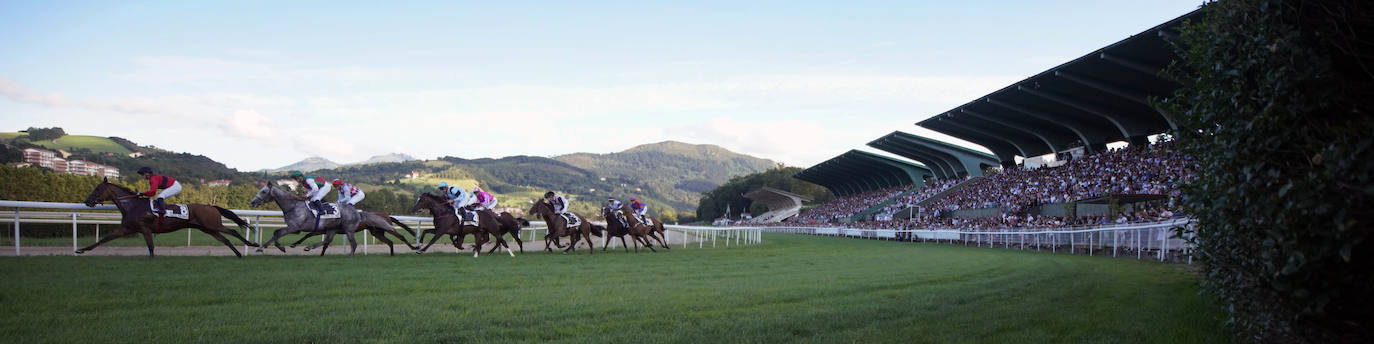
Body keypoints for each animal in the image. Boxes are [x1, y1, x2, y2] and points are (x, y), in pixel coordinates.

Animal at [80, 178, 259, 257]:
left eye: (97, 189)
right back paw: (238, 253)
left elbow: (151, 246)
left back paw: (252, 244)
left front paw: (152, 259)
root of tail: (211, 206)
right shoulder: (126, 229)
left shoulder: (145, 228)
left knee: (233, 233)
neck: (132, 205)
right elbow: (104, 239)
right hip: (208, 229)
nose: (87, 201)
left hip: (212, 225)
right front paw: (82, 249)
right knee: (226, 239)